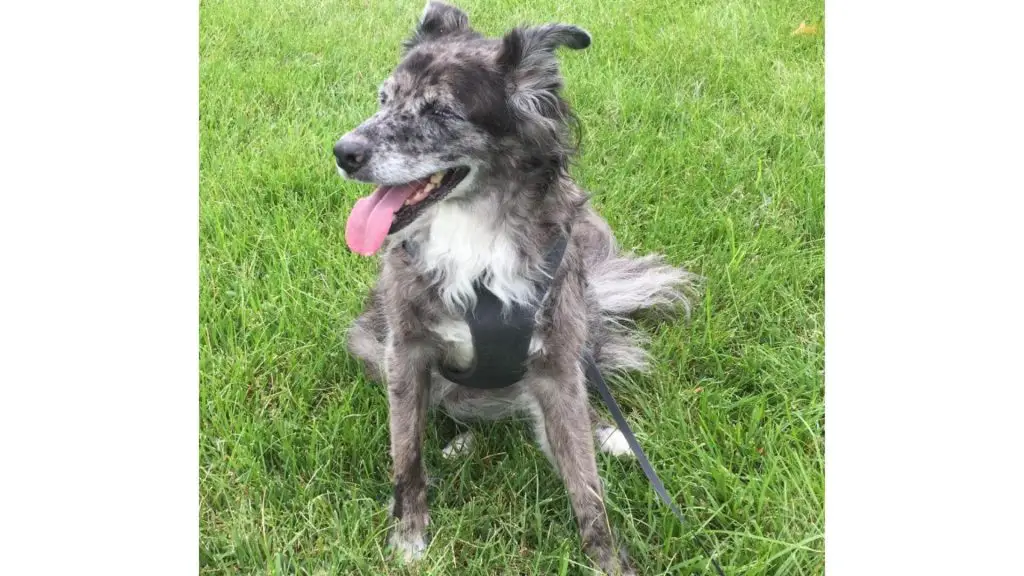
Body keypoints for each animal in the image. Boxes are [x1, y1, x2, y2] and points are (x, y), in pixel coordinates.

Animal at [333, 3, 696, 569]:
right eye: (384, 99)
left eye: (441, 113)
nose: (342, 152)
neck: (475, 229)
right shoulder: (405, 350)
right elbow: (407, 451)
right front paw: (409, 535)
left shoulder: (556, 365)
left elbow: (585, 481)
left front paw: (607, 559)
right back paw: (461, 442)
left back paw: (607, 432)